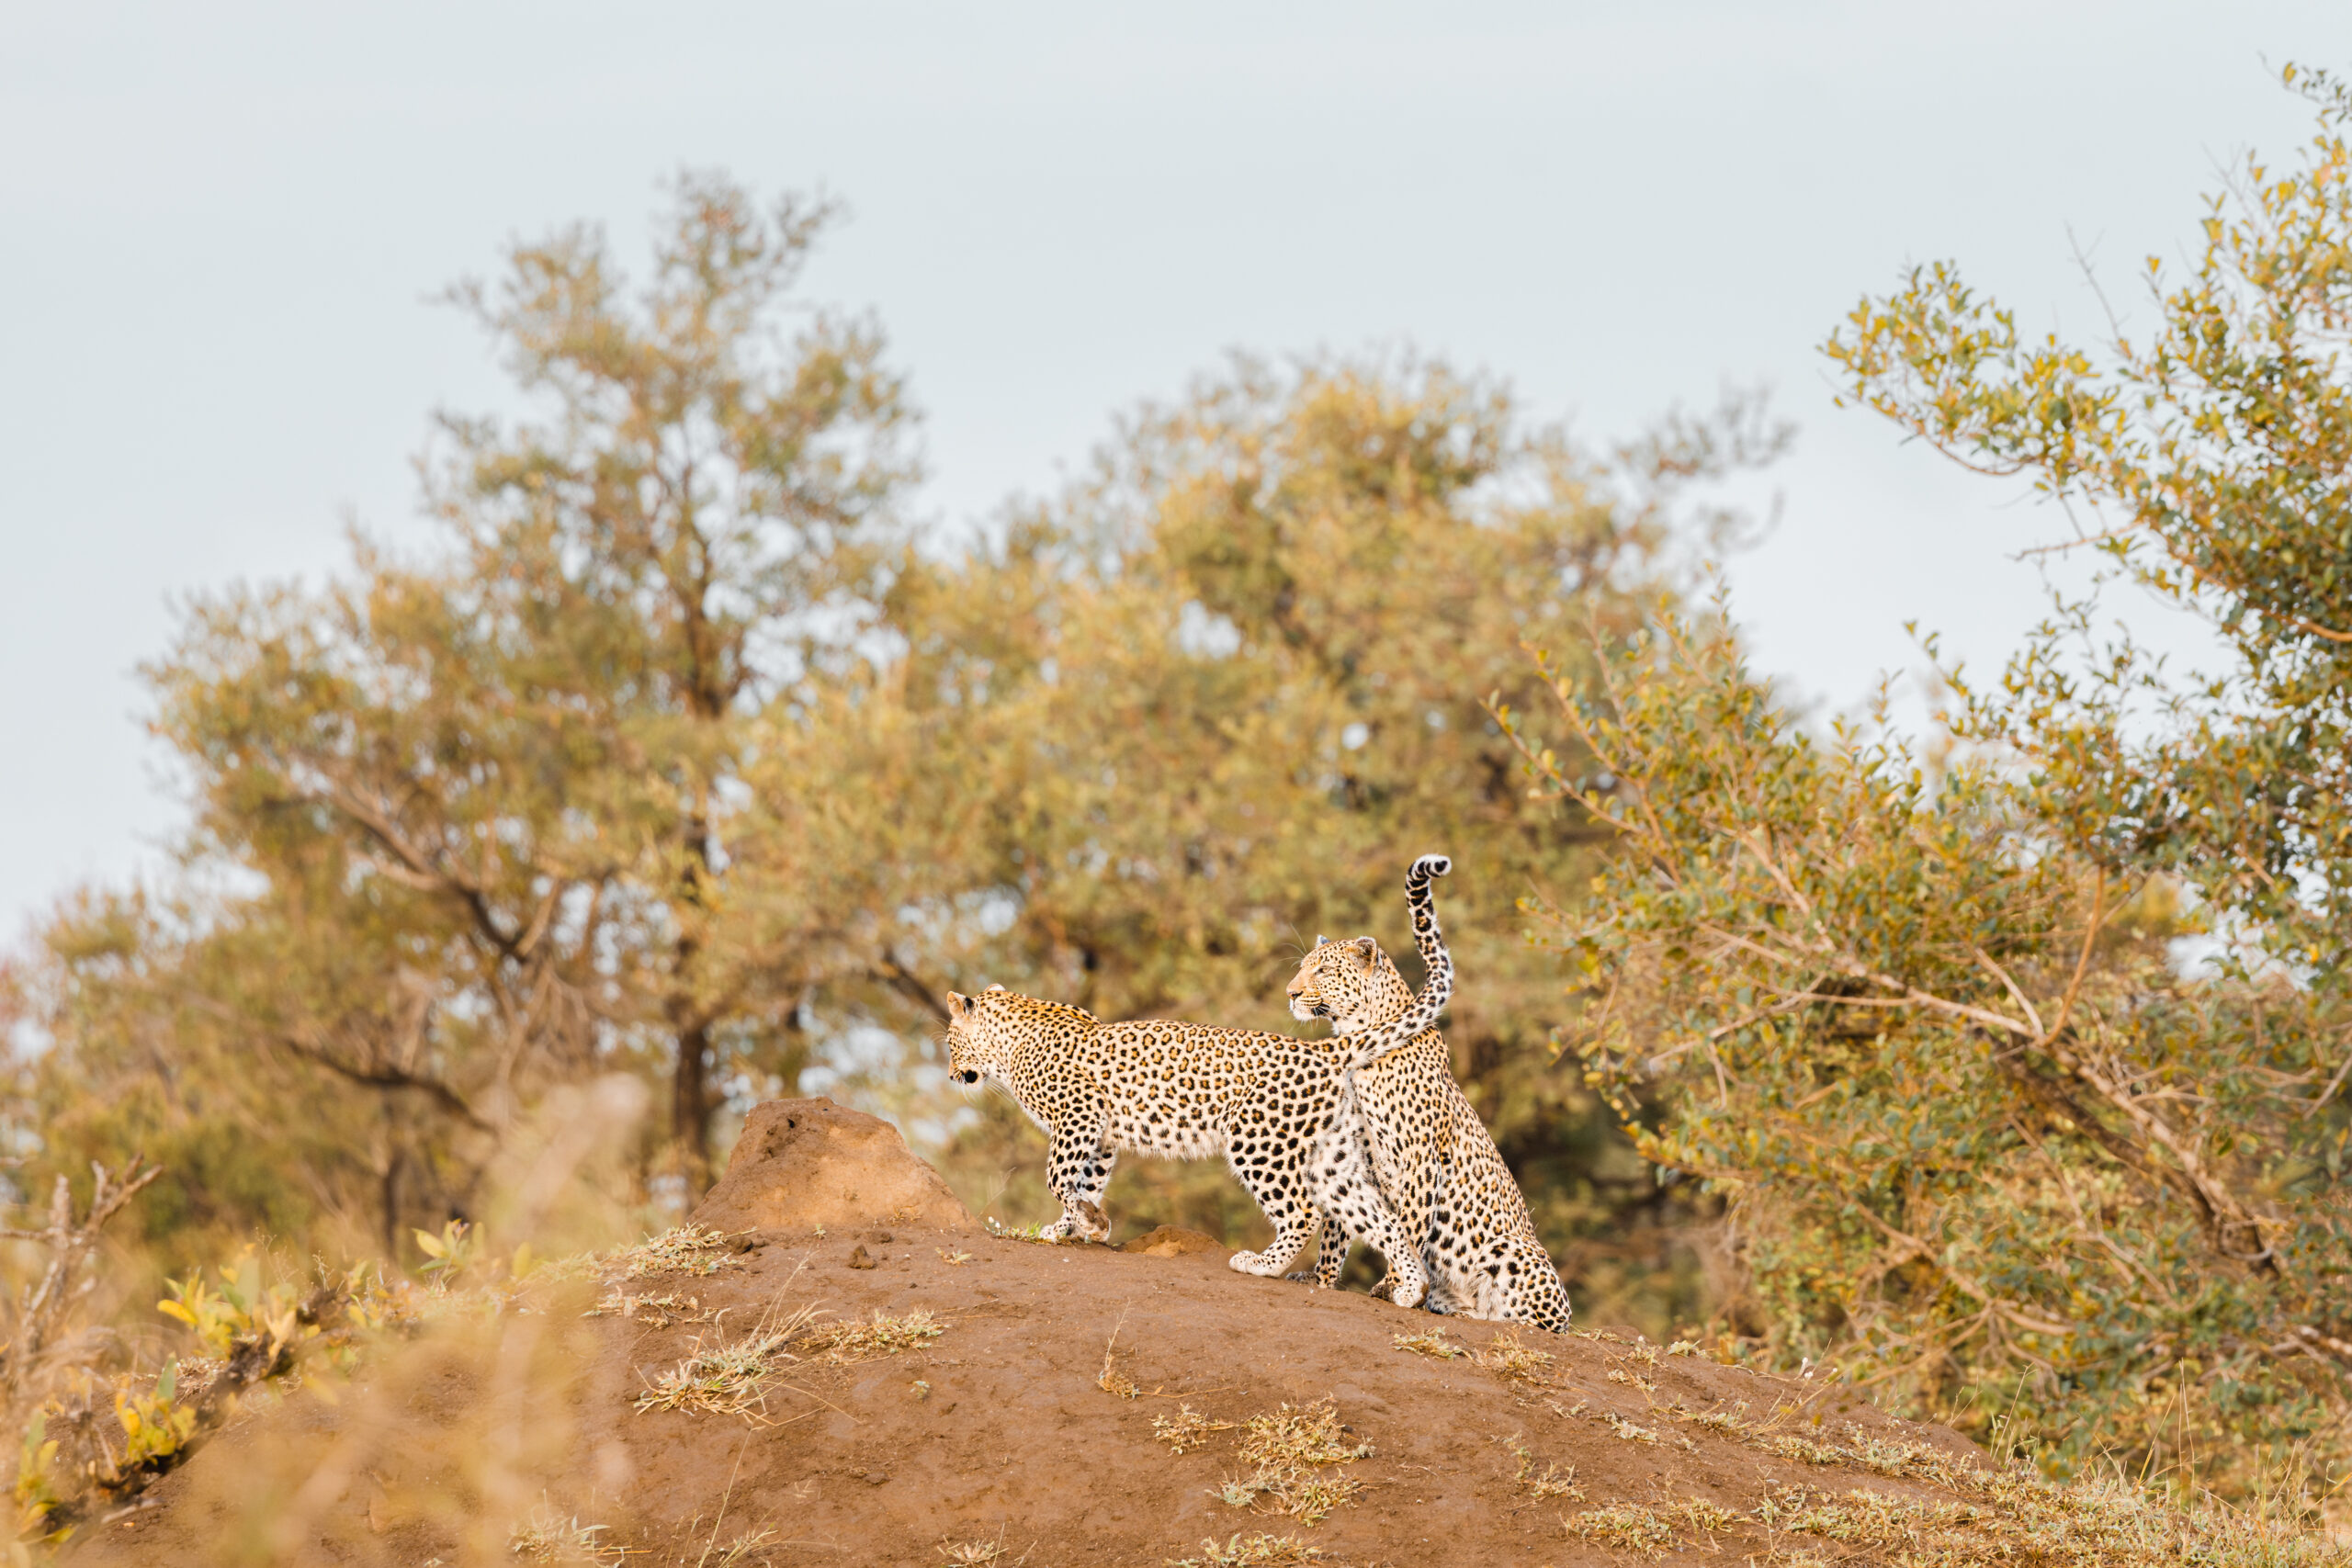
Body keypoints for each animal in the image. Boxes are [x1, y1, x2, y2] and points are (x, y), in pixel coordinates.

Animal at [935, 860, 1448, 1297]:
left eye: (950, 1043)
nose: (951, 1075)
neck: (1011, 1039)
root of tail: (1319, 1047)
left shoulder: (1078, 1118)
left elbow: (1057, 1177)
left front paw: (1084, 1222)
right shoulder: (1099, 1135)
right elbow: (1085, 1182)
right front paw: (1078, 1226)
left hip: (1257, 1140)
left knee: (1304, 1212)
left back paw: (1262, 1264)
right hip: (1331, 1154)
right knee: (1381, 1218)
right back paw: (1409, 1288)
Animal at [1288, 869, 1580, 1325]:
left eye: (1324, 969)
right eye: (1303, 968)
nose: (1291, 993)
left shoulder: (1419, 1157)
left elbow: (1407, 1229)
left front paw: (1392, 1287)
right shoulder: (1351, 1155)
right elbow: (1337, 1230)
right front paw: (1322, 1279)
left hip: (1510, 1249)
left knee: (1527, 1319)